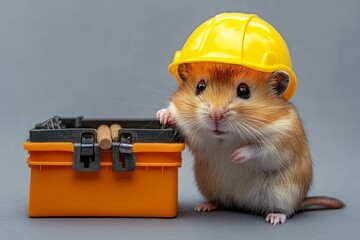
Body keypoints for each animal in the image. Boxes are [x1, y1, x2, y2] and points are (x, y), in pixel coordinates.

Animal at [157, 62, 344, 225]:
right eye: (200, 86)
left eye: (244, 90)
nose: (216, 116)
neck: (223, 137)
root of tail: (242, 203)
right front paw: (163, 115)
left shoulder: (282, 138)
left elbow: (259, 148)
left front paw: (235, 156)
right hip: (210, 186)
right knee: (220, 201)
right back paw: (203, 207)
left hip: (284, 192)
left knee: (286, 210)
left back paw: (274, 218)